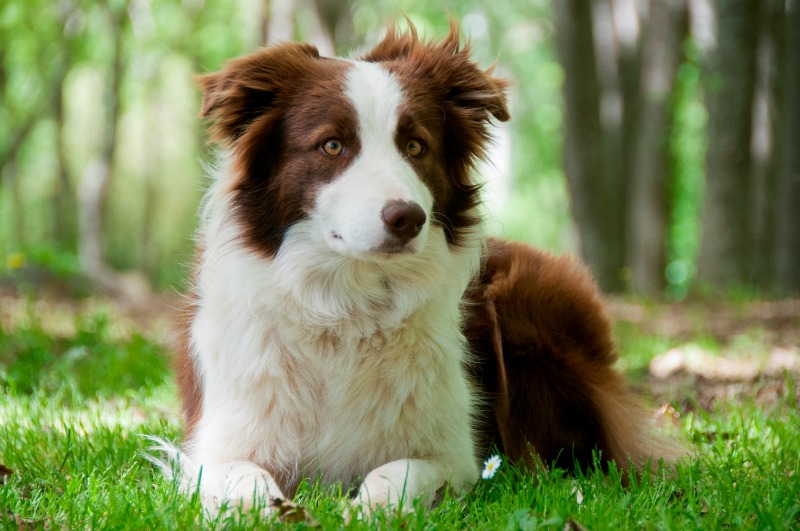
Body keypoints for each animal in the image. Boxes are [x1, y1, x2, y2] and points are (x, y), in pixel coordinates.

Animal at [152, 22, 676, 516]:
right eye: (332, 145)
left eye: (415, 145)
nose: (407, 217)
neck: (347, 308)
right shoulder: (219, 445)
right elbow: (244, 478)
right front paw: (272, 509)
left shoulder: (457, 456)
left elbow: (397, 473)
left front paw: (359, 510)